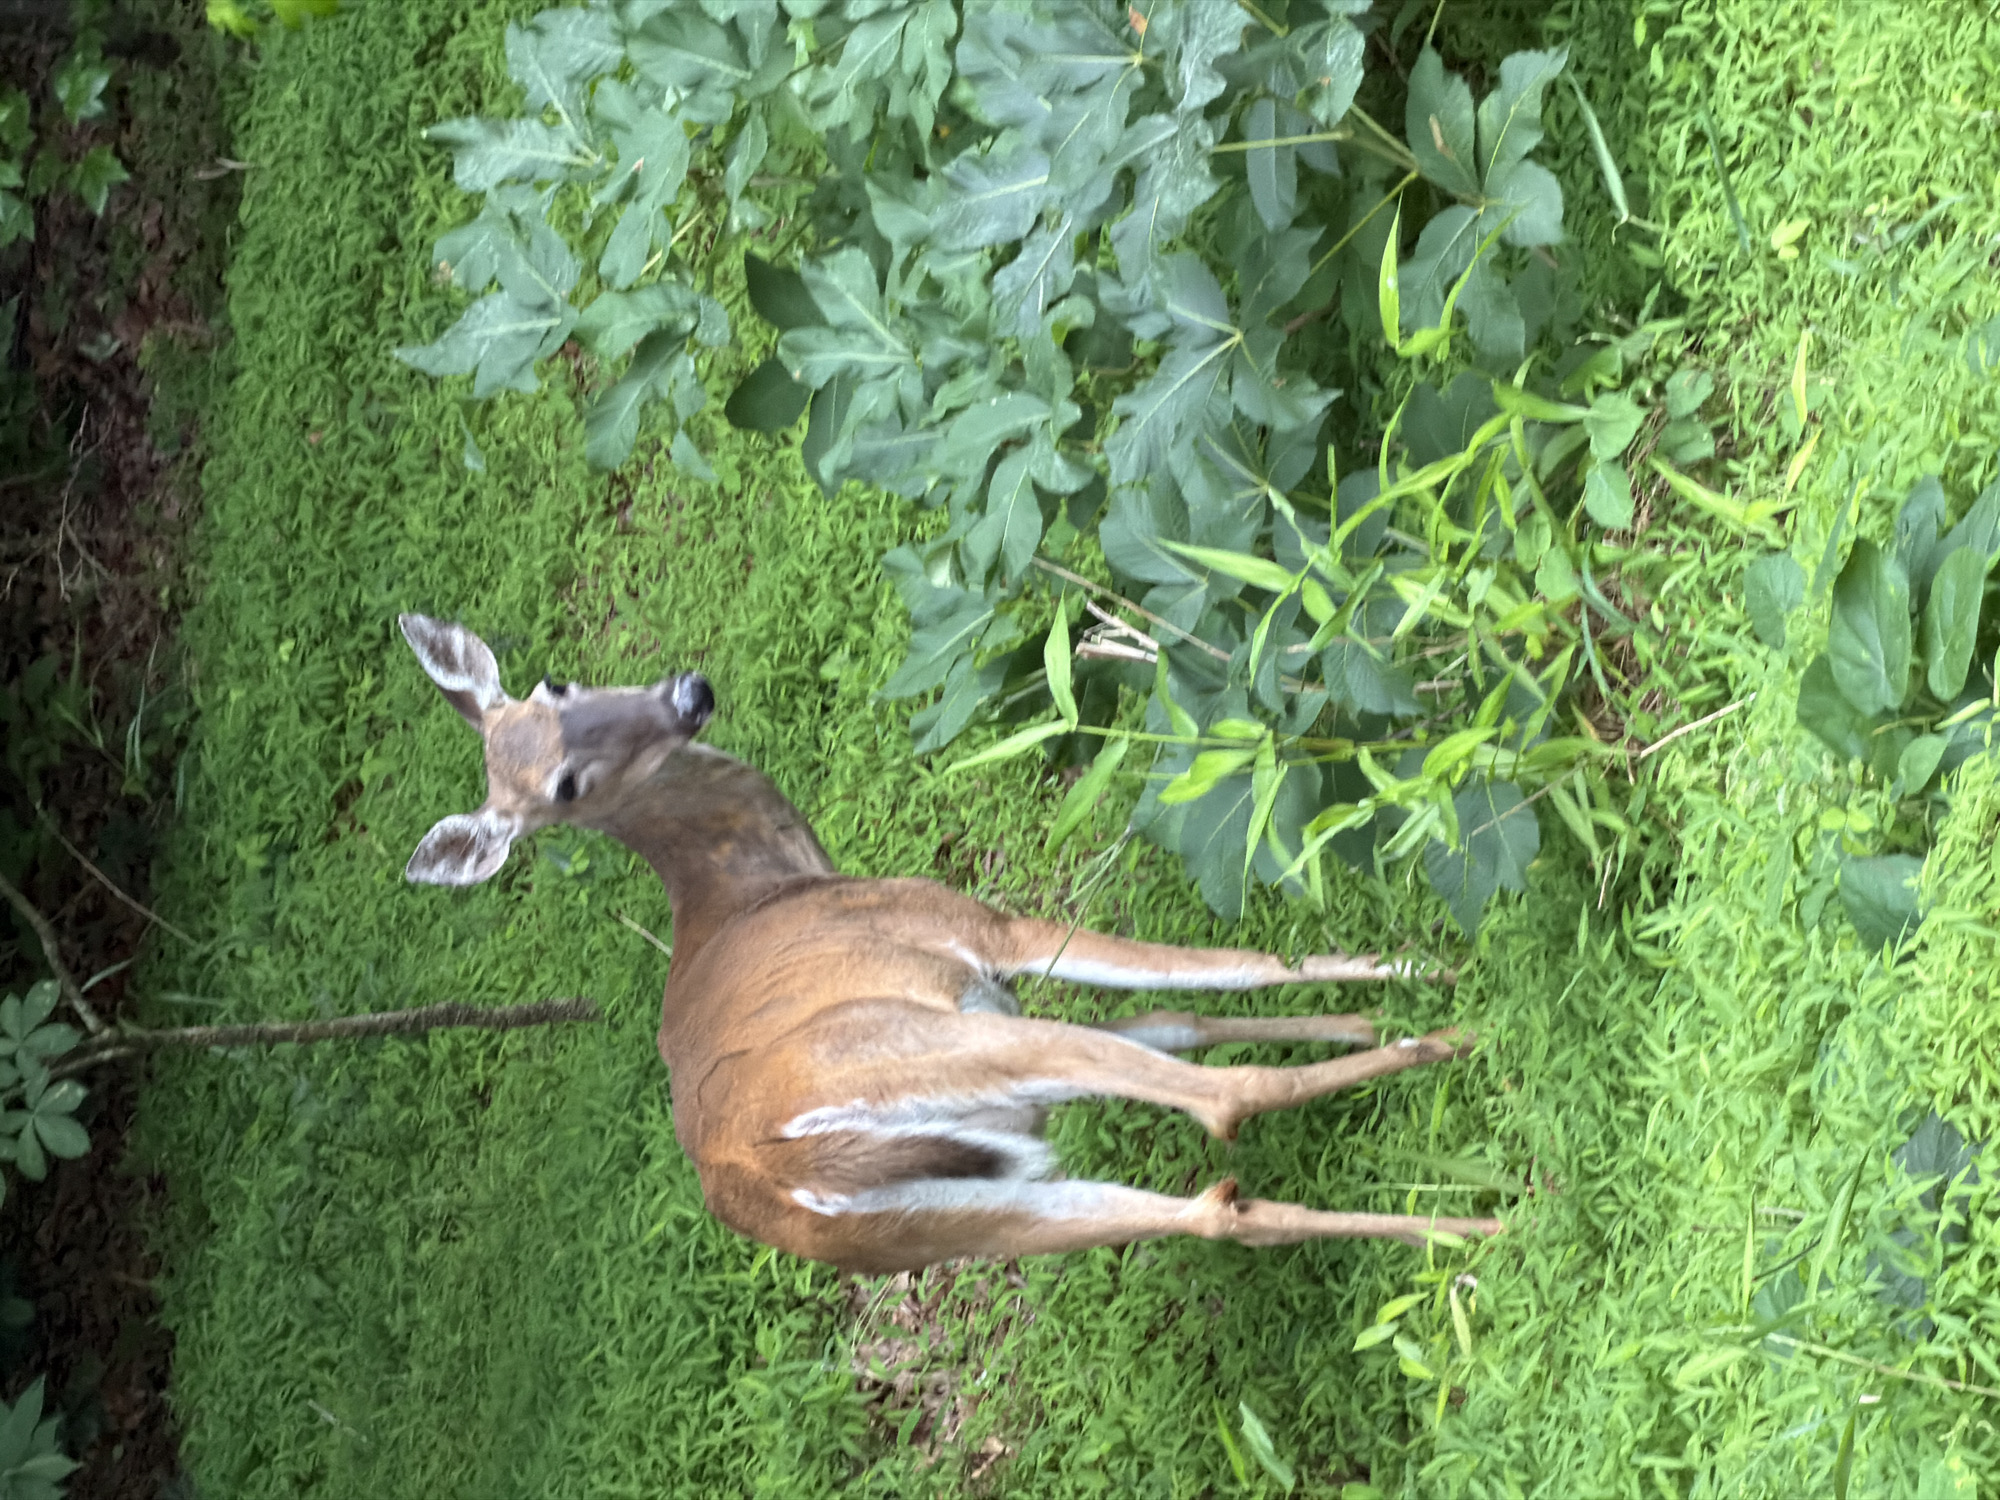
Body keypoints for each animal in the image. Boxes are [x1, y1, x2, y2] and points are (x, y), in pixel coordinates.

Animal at [396, 614, 1503, 1273]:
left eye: (555, 682)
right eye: (563, 785)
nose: (687, 691)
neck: (759, 885)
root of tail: (775, 1169)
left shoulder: (992, 1002)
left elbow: (1174, 1013)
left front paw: (1366, 1011)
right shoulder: (974, 931)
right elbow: (1214, 971)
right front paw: (1411, 971)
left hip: (957, 1216)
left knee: (1214, 1204)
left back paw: (1474, 1224)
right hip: (938, 1053)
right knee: (1225, 1104)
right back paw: (1450, 1066)